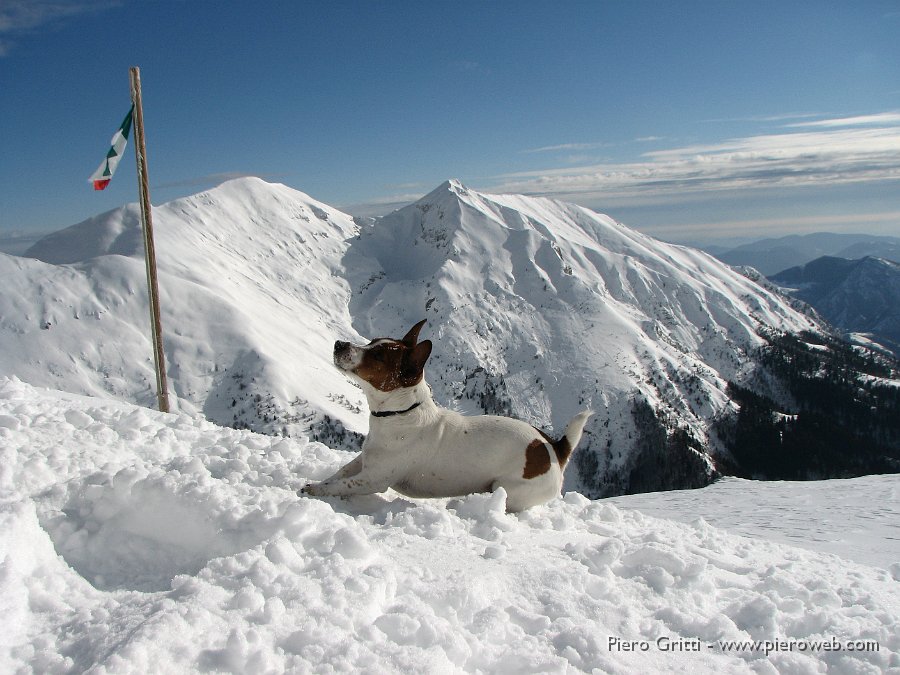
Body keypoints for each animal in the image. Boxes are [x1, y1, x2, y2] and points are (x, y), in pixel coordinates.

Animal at [306, 320, 596, 512]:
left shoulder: (373, 479)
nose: (339, 343)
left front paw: (315, 490)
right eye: (371, 341)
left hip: (510, 490)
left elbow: (341, 485)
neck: (400, 414)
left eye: (377, 355)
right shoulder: (362, 462)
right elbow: (340, 473)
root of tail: (555, 448)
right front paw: (320, 481)